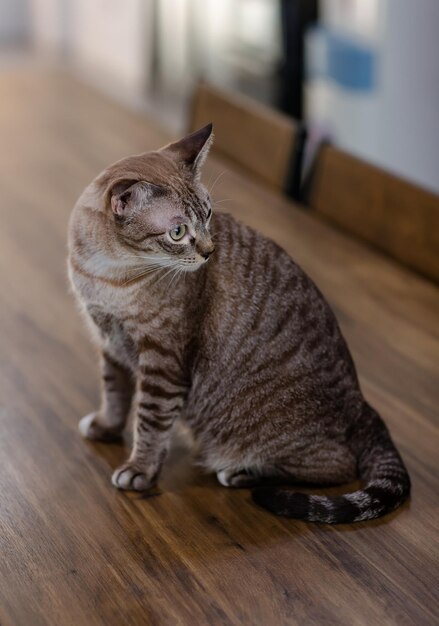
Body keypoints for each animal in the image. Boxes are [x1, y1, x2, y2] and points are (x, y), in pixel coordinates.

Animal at [67, 123, 410, 520]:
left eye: (208, 216)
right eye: (178, 232)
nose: (209, 251)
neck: (106, 274)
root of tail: (363, 405)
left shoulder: (162, 362)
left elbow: (150, 423)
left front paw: (140, 470)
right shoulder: (110, 343)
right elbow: (115, 394)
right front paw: (106, 428)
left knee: (336, 467)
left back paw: (242, 471)